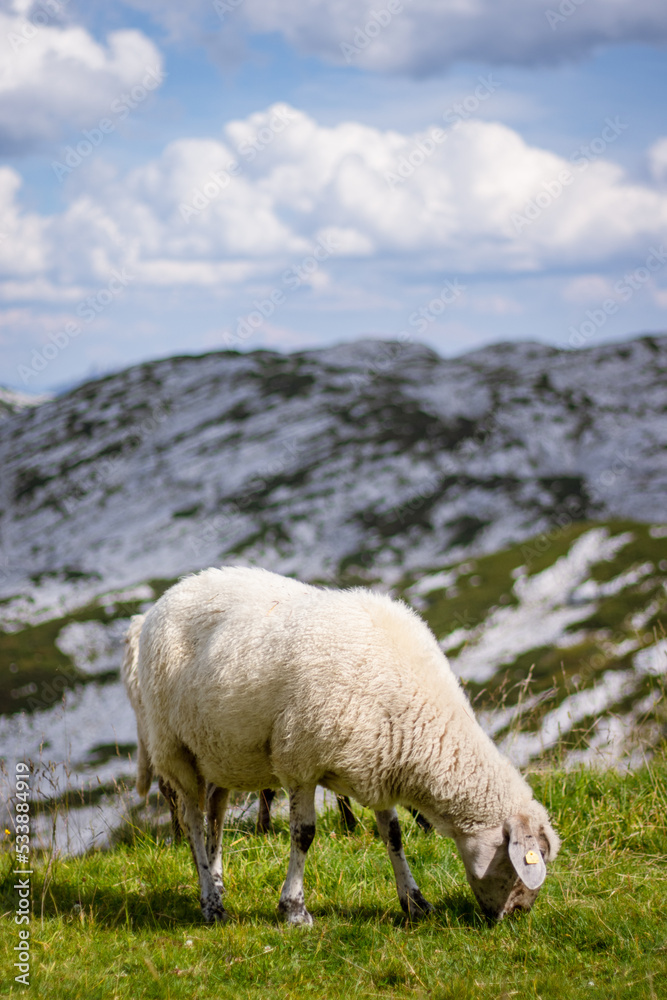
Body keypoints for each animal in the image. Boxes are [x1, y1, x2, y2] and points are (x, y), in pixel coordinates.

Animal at [137, 566, 560, 925]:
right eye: (520, 864)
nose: (517, 914)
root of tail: (174, 591)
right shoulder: (299, 762)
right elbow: (304, 834)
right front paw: (293, 910)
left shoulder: (381, 763)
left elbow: (393, 835)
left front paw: (414, 902)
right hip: (174, 748)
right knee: (193, 821)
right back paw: (210, 902)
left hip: (220, 752)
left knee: (216, 815)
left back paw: (218, 882)